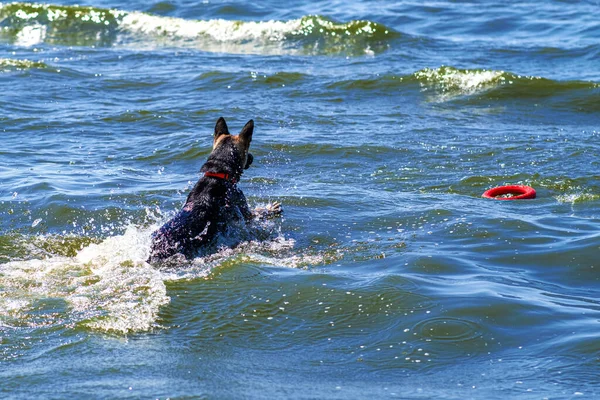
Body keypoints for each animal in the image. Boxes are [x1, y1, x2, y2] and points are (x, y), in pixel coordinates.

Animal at [149, 116, 282, 262]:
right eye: (247, 151)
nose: (252, 157)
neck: (219, 173)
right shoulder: (245, 211)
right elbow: (259, 213)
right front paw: (271, 209)